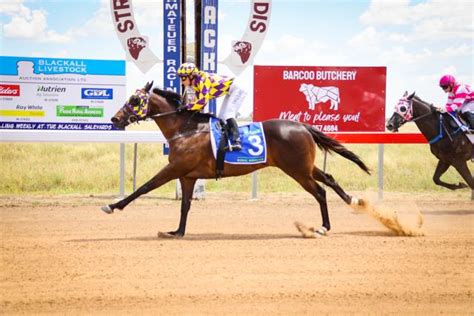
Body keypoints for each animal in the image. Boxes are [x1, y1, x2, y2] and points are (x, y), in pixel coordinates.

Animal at [103, 81, 370, 237]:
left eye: (135, 100)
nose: (115, 119)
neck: (185, 129)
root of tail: (303, 125)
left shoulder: (175, 168)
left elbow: (145, 187)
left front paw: (113, 206)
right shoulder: (188, 176)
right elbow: (185, 205)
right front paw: (177, 232)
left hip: (297, 170)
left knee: (320, 191)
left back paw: (324, 226)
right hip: (304, 166)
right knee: (329, 179)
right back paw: (352, 201)